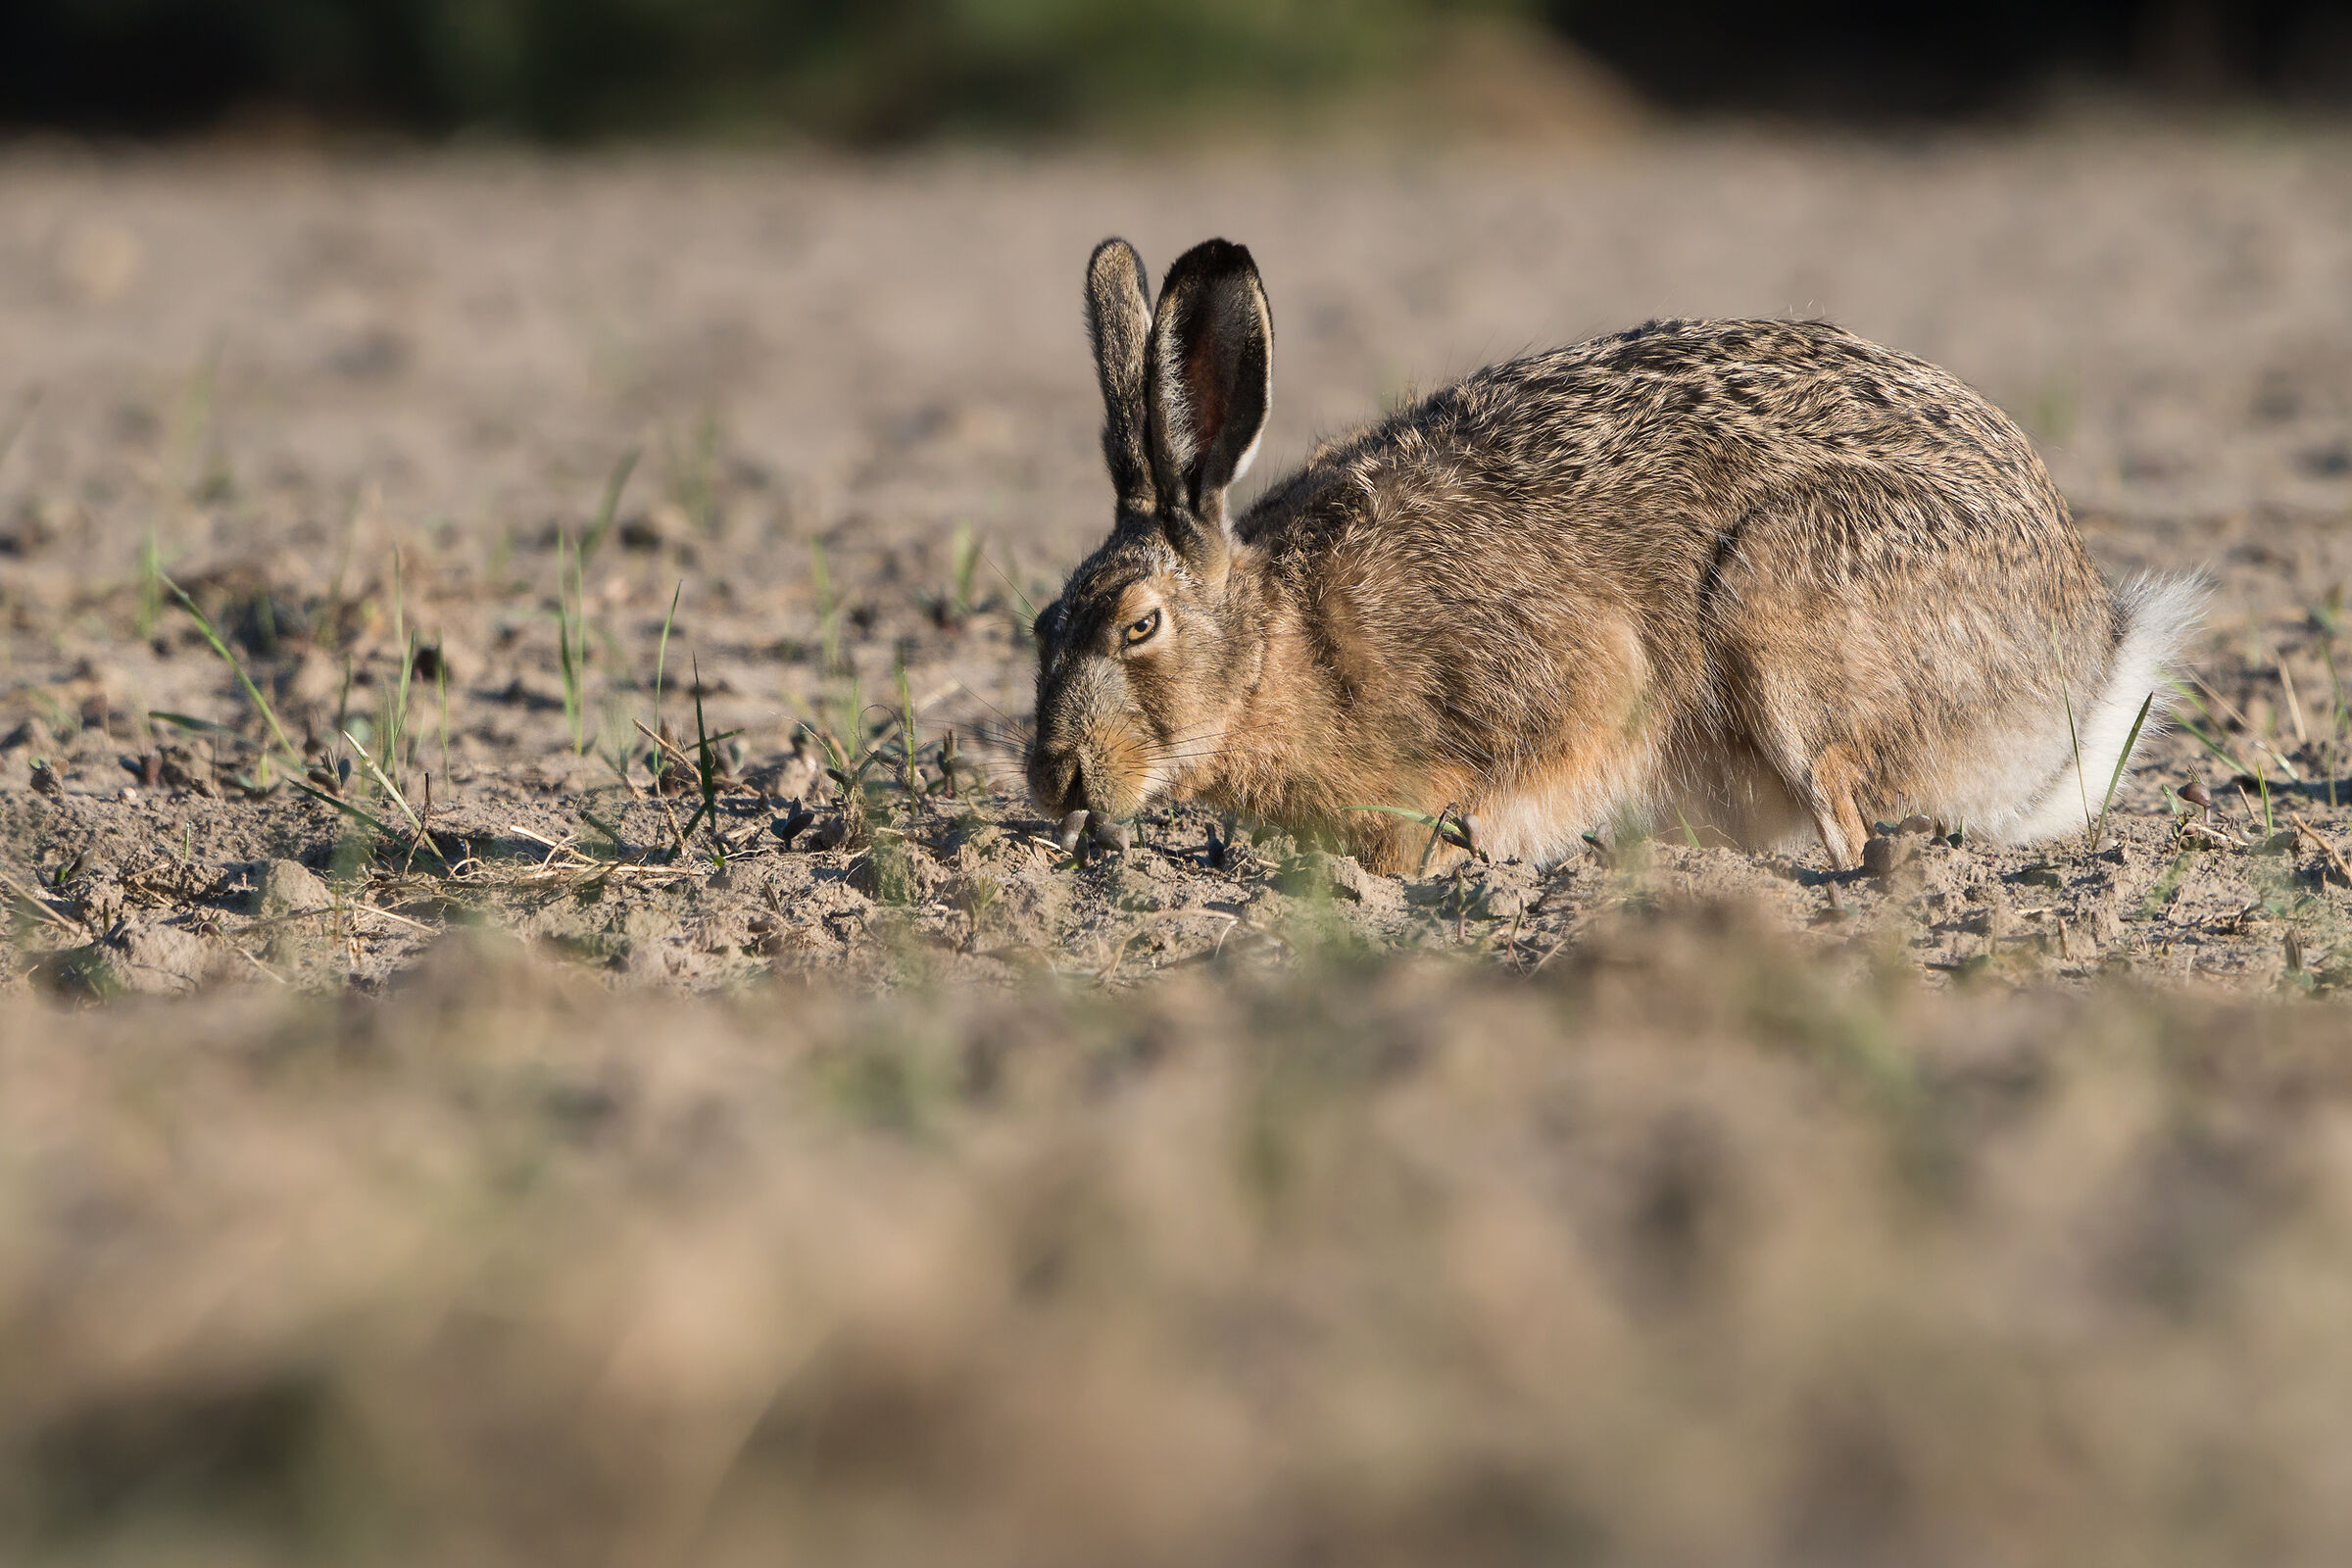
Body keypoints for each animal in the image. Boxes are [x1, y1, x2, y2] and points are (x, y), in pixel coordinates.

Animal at [1027, 236, 2202, 875]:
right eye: (1043, 624)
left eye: (1141, 624)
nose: (1055, 779)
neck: (1285, 642)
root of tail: (2083, 655)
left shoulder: (1561, 685)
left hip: (1790, 620)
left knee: (1854, 830)